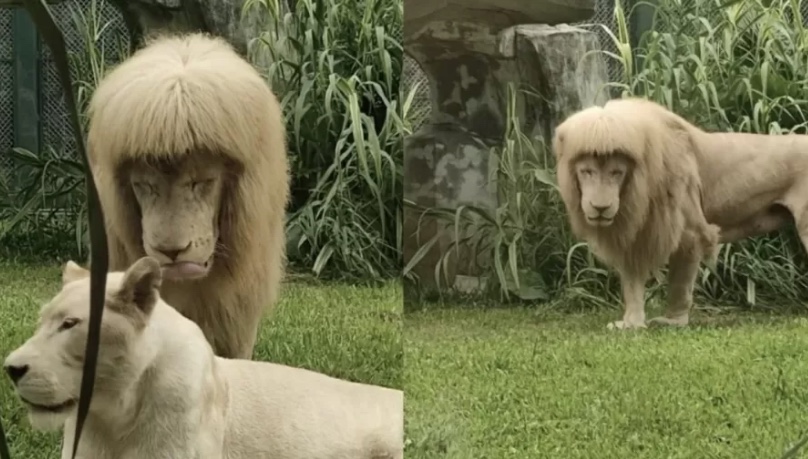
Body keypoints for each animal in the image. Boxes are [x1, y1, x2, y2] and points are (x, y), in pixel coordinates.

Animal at [552, 100, 721, 330]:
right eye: (586, 171)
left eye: (617, 173)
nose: (600, 207)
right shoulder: (632, 237)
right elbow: (632, 283)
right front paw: (631, 323)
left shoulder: (690, 230)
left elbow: (680, 282)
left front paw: (673, 321)